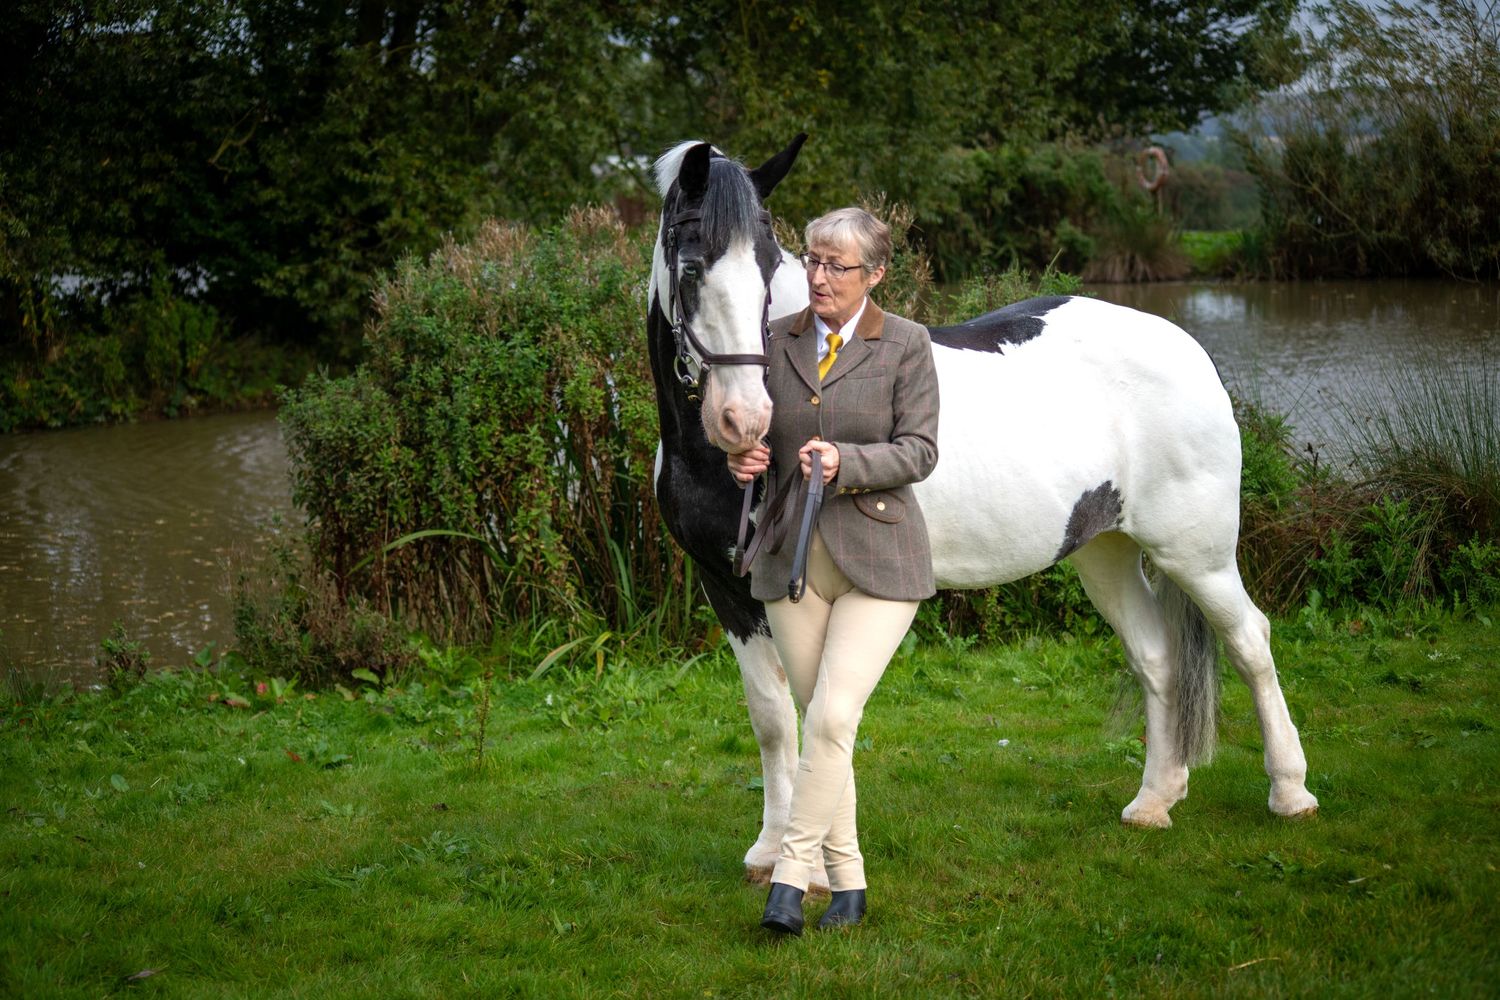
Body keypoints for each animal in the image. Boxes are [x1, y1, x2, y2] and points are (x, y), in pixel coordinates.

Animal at [645, 137, 1319, 887]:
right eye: (692, 265)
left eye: (769, 269)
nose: (745, 419)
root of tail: (1187, 344)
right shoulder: (729, 586)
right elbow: (770, 715)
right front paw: (771, 851)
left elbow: (809, 708)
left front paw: (807, 861)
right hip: (1105, 551)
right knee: (1157, 657)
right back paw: (1154, 802)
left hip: (1195, 554)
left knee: (1251, 642)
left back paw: (1290, 791)